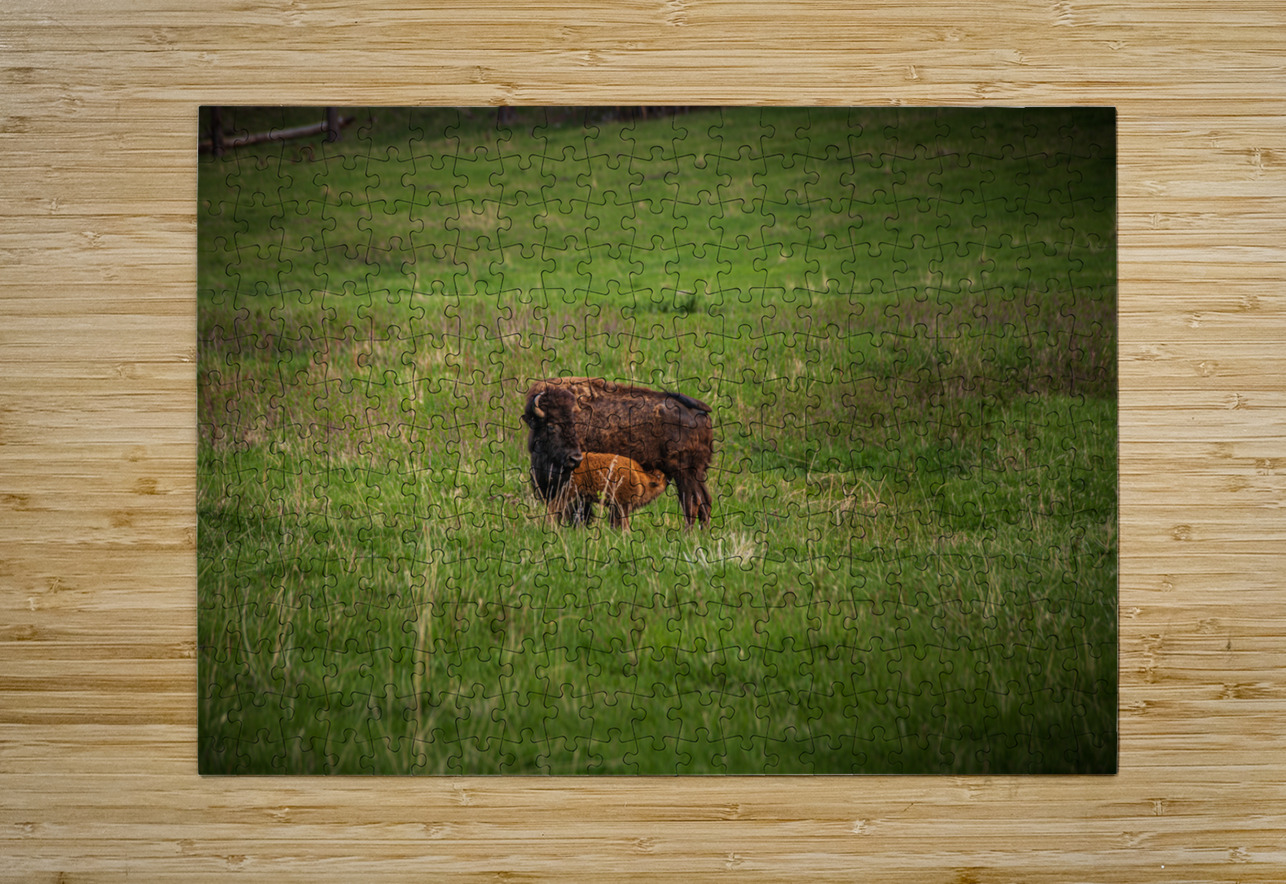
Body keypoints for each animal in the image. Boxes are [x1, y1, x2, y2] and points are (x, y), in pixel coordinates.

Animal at [524, 377, 714, 527]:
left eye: (574, 425)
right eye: (551, 425)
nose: (575, 458)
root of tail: (698, 411)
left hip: (685, 475)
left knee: (692, 504)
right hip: (695, 474)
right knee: (704, 503)